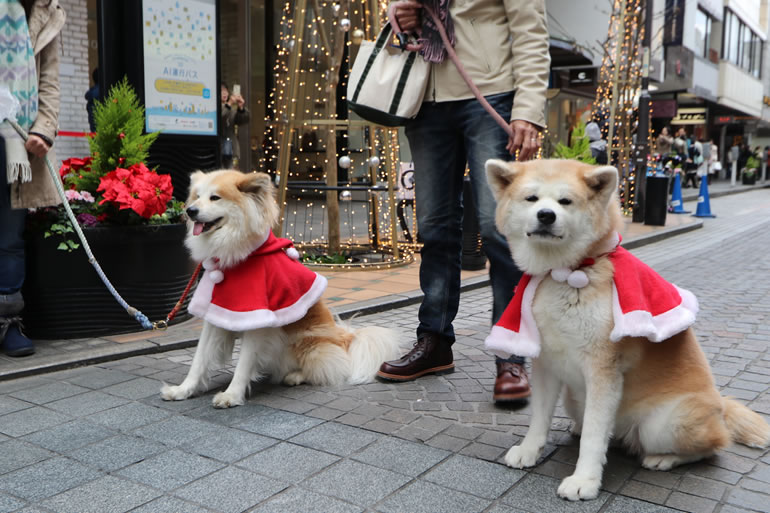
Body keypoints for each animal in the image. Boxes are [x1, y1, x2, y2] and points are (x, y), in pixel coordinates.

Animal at [161, 171, 402, 408]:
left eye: (215, 198)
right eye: (197, 196)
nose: (190, 211)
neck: (237, 257)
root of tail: (344, 338)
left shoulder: (258, 319)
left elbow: (243, 363)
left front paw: (231, 395)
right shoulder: (215, 312)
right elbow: (199, 359)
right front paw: (183, 390)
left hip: (306, 344)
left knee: (326, 368)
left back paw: (294, 376)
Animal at [484, 159, 764, 500]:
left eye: (565, 201)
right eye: (532, 199)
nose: (546, 215)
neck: (565, 274)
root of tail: (721, 405)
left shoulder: (602, 369)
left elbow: (594, 437)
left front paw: (585, 480)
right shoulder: (546, 363)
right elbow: (539, 418)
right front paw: (529, 451)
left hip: (663, 424)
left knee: (713, 445)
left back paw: (664, 458)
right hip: (574, 400)